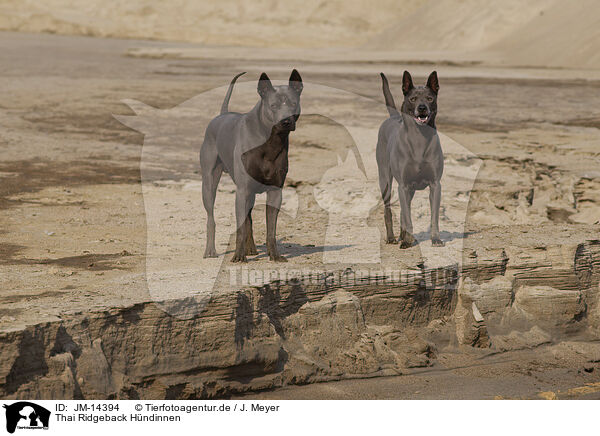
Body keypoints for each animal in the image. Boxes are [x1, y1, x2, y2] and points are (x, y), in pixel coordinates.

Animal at [200, 70, 302, 262]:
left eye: (293, 104)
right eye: (274, 105)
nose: (286, 121)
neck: (270, 142)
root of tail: (222, 114)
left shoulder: (275, 191)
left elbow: (271, 229)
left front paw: (275, 256)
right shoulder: (242, 190)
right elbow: (240, 227)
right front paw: (238, 257)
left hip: (251, 194)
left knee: (249, 220)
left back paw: (251, 249)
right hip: (209, 183)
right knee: (211, 217)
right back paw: (210, 250)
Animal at [376, 71, 446, 249]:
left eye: (429, 98)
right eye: (413, 98)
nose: (422, 108)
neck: (419, 138)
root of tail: (393, 117)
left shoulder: (435, 185)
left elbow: (434, 216)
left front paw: (436, 239)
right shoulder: (403, 185)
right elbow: (407, 216)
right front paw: (407, 241)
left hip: (410, 189)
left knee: (403, 209)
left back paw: (403, 235)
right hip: (385, 180)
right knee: (389, 209)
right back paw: (392, 237)